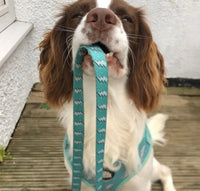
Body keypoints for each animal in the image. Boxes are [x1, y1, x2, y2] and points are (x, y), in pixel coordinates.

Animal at [38, 0, 176, 190]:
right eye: (77, 15)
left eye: (126, 18)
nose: (102, 17)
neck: (107, 104)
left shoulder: (140, 182)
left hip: (150, 169)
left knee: (165, 170)